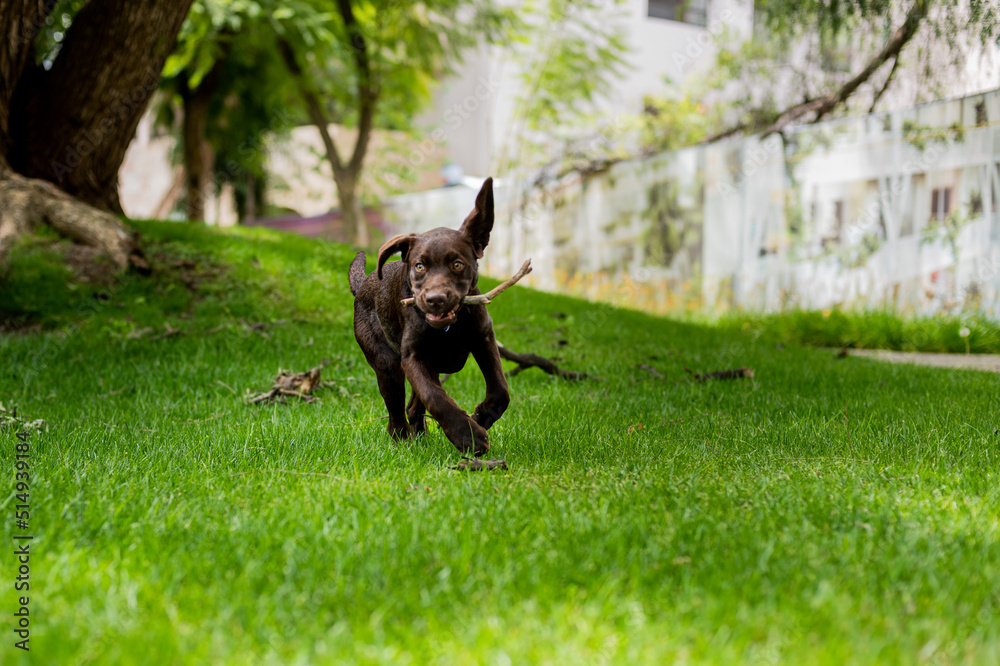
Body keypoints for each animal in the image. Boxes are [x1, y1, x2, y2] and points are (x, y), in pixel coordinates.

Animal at [350, 179, 508, 454]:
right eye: (420, 266)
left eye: (457, 264)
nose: (435, 299)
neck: (448, 329)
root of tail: (362, 286)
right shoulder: (413, 356)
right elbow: (435, 396)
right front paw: (468, 436)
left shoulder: (483, 338)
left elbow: (500, 390)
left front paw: (482, 416)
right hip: (386, 363)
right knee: (397, 411)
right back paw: (404, 439)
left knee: (414, 405)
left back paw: (420, 434)